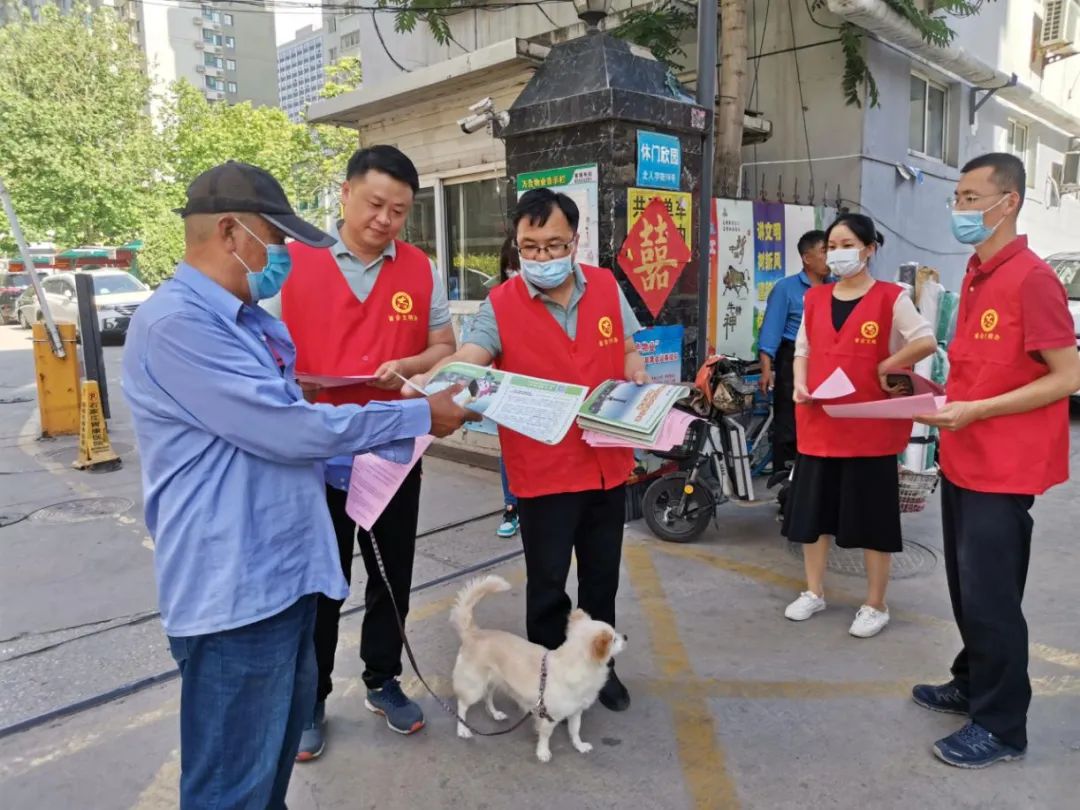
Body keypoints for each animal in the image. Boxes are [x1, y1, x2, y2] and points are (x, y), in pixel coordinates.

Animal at [449, 574, 626, 764]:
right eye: (614, 639)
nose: (626, 637)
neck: (575, 664)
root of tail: (473, 633)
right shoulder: (547, 716)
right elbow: (545, 736)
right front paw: (542, 752)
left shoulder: (576, 712)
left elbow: (575, 730)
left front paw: (579, 745)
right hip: (474, 687)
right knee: (462, 705)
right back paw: (462, 729)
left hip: (493, 682)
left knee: (488, 698)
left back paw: (496, 714)